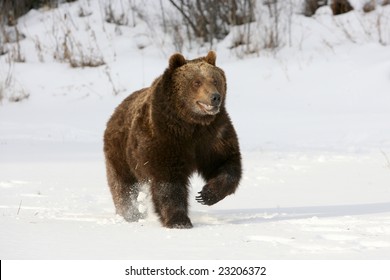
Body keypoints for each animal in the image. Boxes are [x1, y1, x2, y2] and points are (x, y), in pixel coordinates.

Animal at [105, 51, 242, 229]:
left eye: (215, 80)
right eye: (196, 82)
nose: (215, 97)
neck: (191, 123)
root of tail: (116, 111)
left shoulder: (213, 135)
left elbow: (226, 163)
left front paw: (206, 194)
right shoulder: (165, 137)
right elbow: (168, 181)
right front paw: (179, 220)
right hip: (121, 153)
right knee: (123, 187)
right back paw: (130, 215)